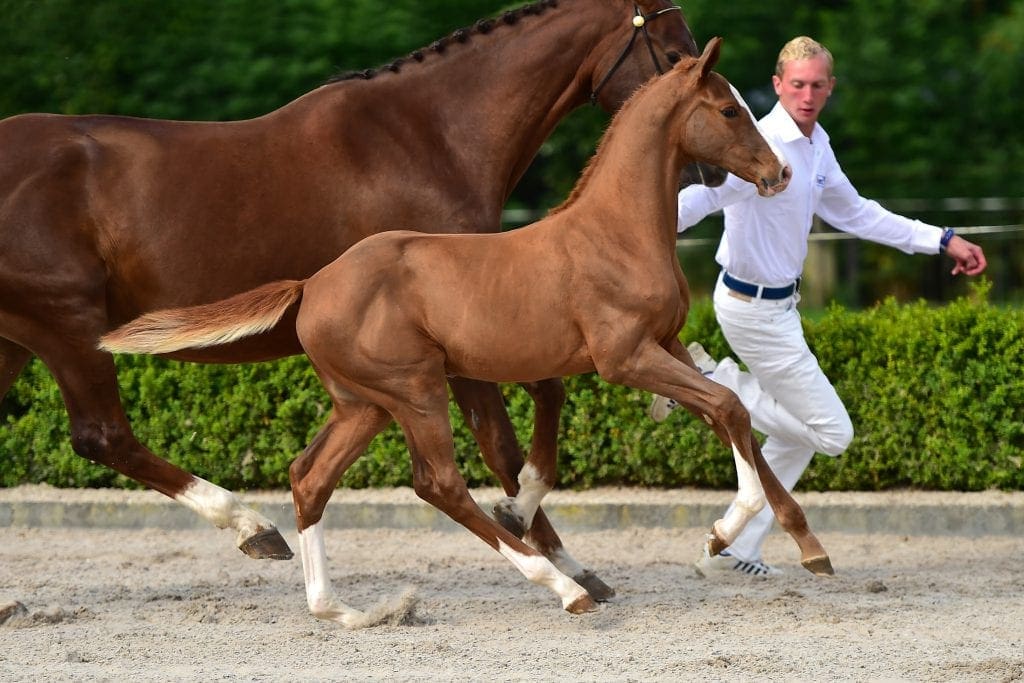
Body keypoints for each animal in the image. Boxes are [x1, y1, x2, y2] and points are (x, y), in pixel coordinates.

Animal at [0, 0, 699, 599]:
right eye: (674, 53)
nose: (701, 173)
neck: (430, 137)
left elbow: (534, 411)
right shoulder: (463, 334)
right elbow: (506, 440)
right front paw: (552, 554)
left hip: (20, 341)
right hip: (69, 327)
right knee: (104, 436)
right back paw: (254, 527)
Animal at [101, 37, 833, 623]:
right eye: (730, 110)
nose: (778, 173)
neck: (615, 230)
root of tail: (312, 285)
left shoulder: (667, 344)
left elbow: (723, 411)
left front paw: (788, 543)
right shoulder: (623, 356)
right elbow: (727, 405)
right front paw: (723, 531)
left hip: (365, 404)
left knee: (311, 477)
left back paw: (343, 610)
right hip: (417, 389)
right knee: (439, 483)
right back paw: (563, 588)